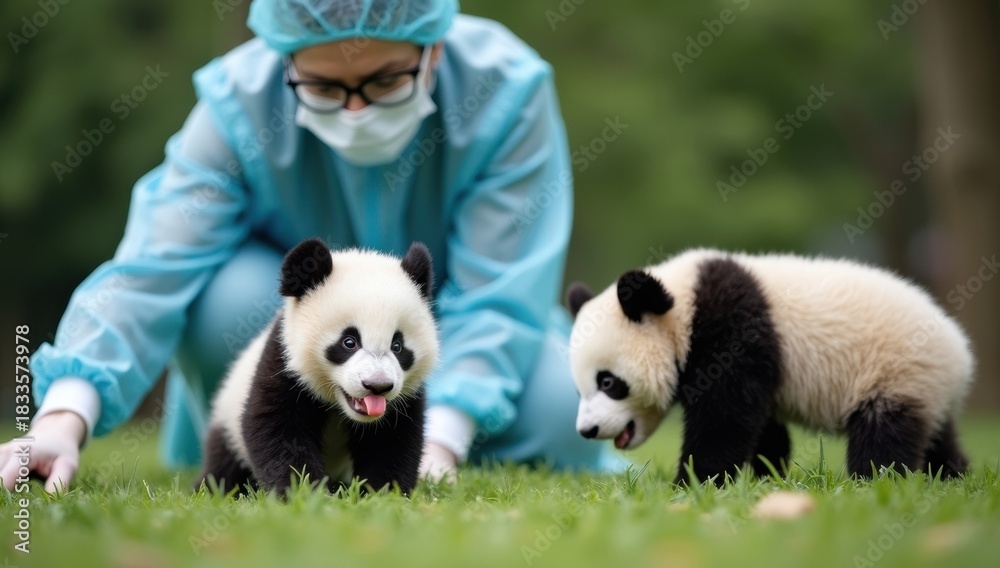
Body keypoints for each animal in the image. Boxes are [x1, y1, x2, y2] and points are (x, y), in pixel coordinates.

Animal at [195, 238, 439, 496]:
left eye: (397, 346)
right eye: (349, 342)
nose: (377, 385)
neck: (339, 407)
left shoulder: (404, 399)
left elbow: (390, 442)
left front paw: (381, 493)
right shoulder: (283, 363)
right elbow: (278, 430)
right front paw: (306, 492)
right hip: (228, 420)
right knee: (224, 463)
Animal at [566, 249, 974, 485]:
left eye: (608, 382)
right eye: (579, 388)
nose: (587, 430)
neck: (683, 306)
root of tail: (961, 355)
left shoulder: (733, 328)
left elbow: (725, 414)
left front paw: (696, 481)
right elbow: (759, 420)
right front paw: (766, 472)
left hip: (896, 370)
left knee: (885, 436)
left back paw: (874, 482)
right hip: (924, 386)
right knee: (937, 434)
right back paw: (950, 475)